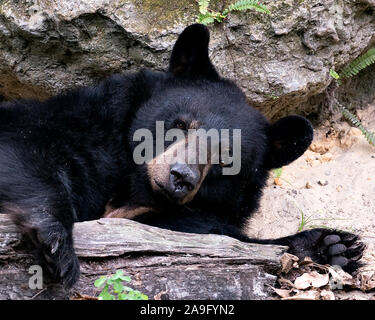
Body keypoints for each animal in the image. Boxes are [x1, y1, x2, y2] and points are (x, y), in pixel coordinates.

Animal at [0, 23, 364, 286]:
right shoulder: (83, 130)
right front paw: (57, 247)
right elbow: (24, 148)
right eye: (180, 124)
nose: (180, 178)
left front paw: (333, 246)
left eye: (226, 160)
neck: (135, 191)